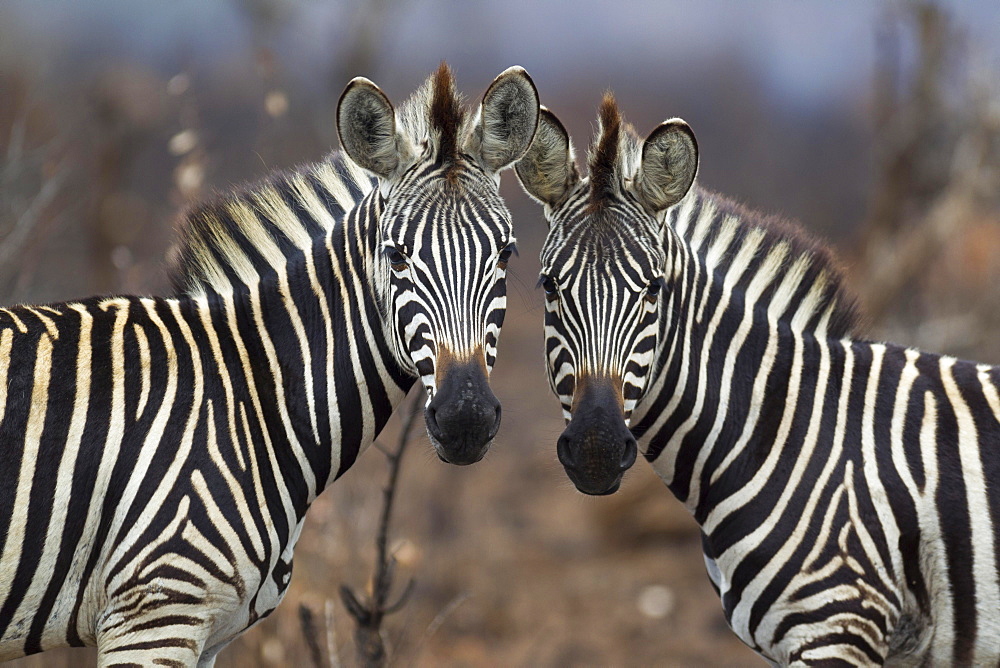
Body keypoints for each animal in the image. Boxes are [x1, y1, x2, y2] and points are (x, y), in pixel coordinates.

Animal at [0, 61, 544, 664]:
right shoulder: (155, 613)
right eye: (396, 256)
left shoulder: (208, 631)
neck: (249, 399)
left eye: (506, 253)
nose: (465, 419)